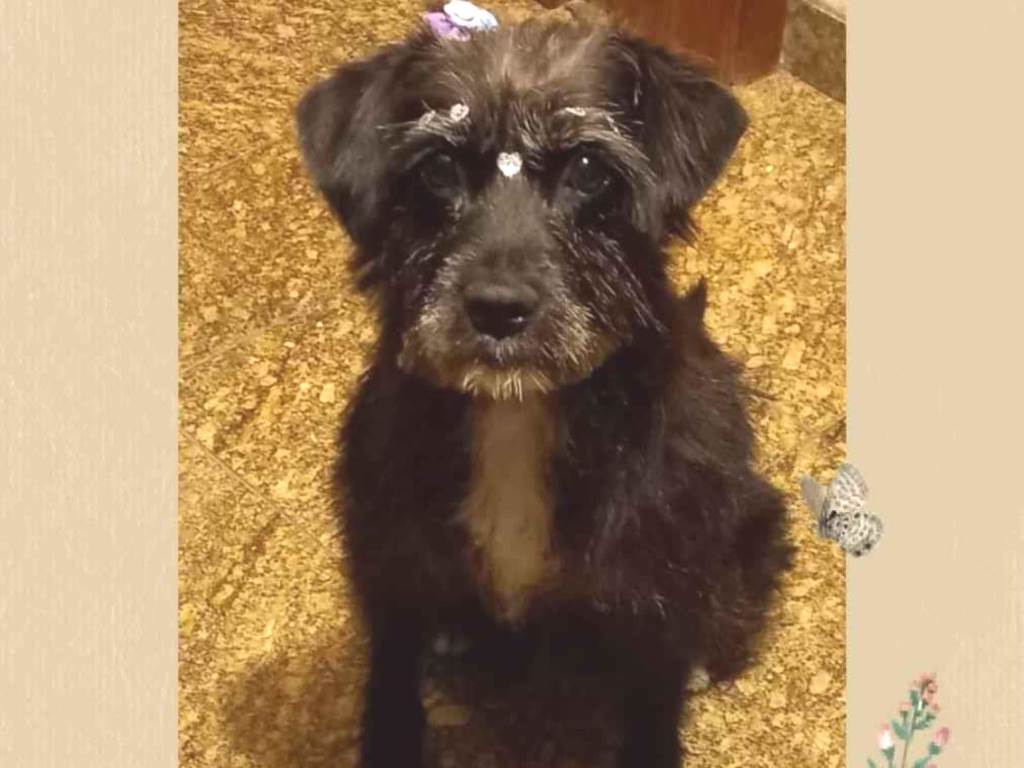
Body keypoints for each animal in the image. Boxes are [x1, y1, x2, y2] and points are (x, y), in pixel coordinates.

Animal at [296, 17, 792, 768]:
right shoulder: (389, 560)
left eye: (588, 169)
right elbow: (390, 683)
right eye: (437, 168)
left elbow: (653, 707)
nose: (498, 309)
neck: (515, 411)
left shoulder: (651, 595)